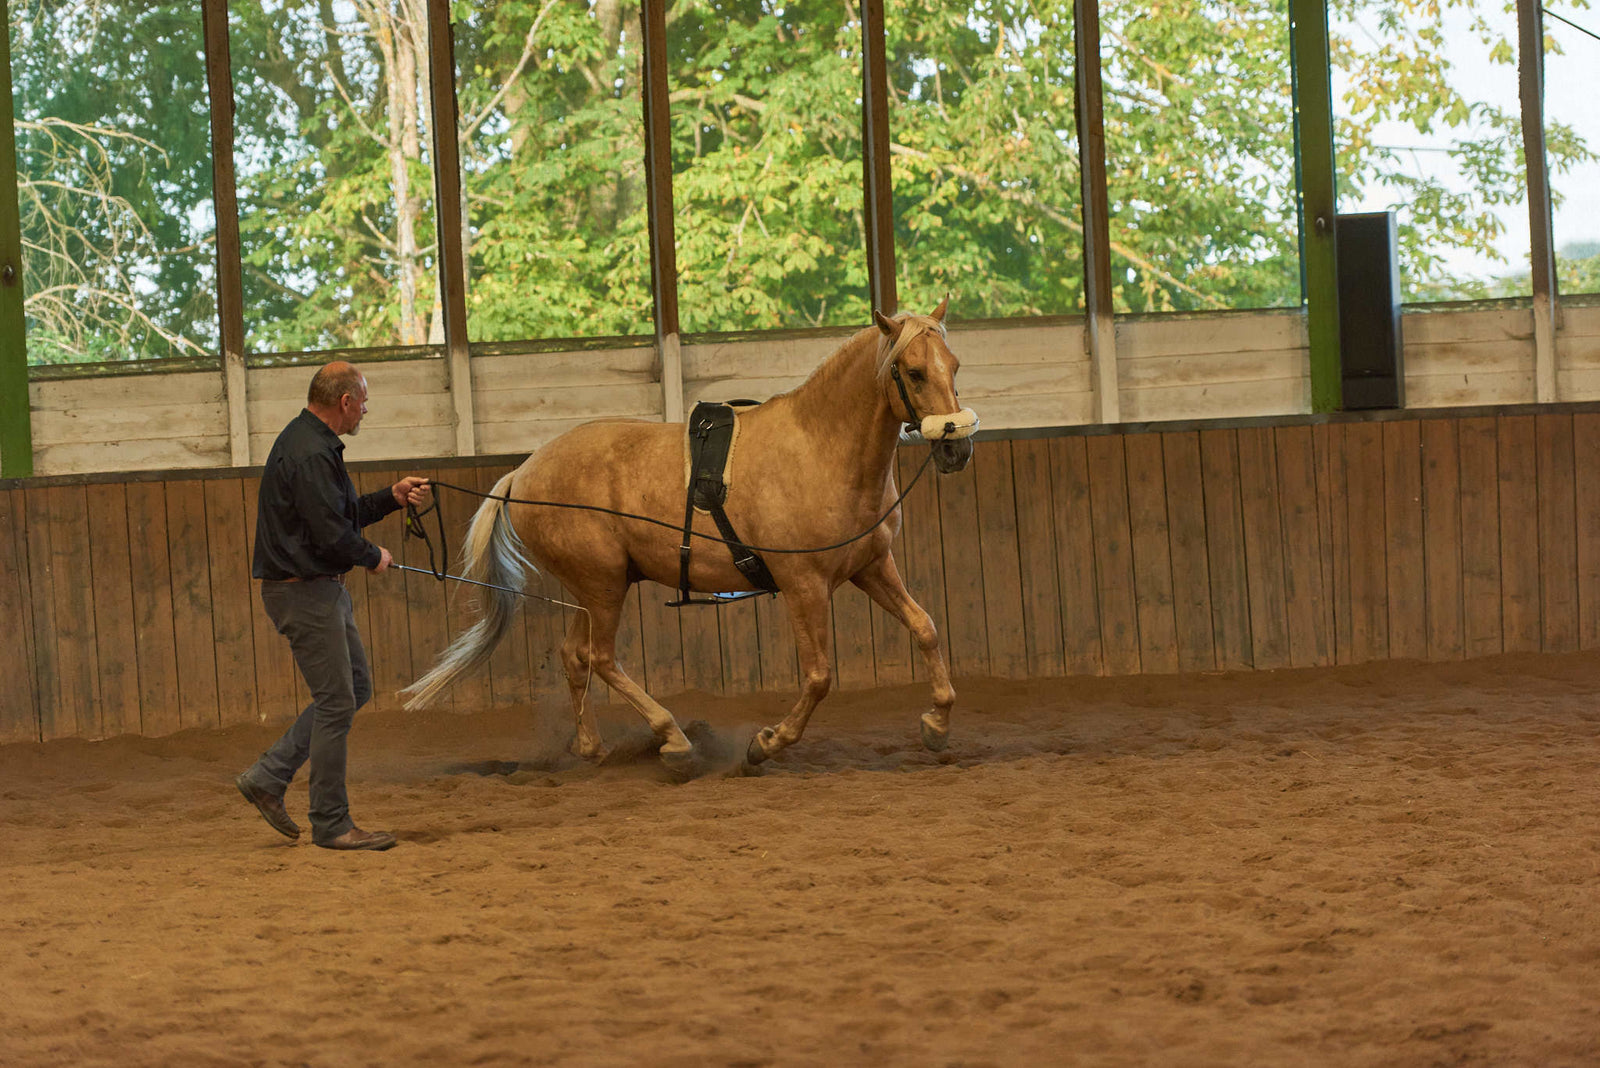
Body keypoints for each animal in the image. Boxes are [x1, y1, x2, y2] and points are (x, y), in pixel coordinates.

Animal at [401, 299, 978, 770]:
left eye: (953, 366)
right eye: (913, 372)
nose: (956, 447)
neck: (819, 449)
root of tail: (523, 472)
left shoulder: (871, 566)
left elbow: (925, 627)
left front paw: (936, 724)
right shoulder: (803, 584)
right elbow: (818, 676)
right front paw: (766, 743)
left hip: (598, 587)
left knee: (574, 656)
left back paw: (592, 747)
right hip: (602, 585)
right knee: (601, 658)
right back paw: (673, 738)